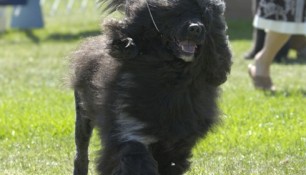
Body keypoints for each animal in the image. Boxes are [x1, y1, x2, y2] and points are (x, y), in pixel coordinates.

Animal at [70, 0, 232, 174]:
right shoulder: (128, 126)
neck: (171, 76)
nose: (196, 28)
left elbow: (170, 162)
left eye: (203, 16)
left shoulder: (176, 142)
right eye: (176, 13)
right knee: (81, 149)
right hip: (83, 113)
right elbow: (134, 157)